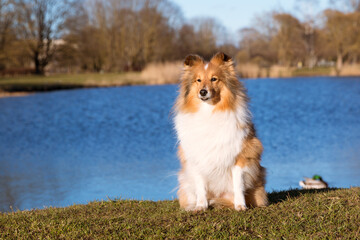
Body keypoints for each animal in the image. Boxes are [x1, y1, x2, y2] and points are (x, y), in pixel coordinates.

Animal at [174, 52, 268, 210]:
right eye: (198, 80)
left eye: (214, 79)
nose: (203, 92)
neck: (209, 111)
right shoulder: (196, 156)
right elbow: (200, 185)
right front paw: (201, 206)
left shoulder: (240, 156)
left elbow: (238, 184)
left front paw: (240, 206)